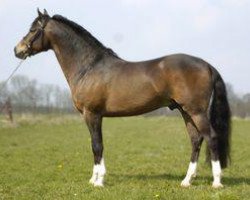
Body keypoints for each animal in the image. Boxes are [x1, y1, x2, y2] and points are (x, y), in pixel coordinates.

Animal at [14, 9, 231, 188]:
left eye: (33, 30)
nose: (17, 50)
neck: (89, 67)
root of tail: (206, 65)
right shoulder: (93, 116)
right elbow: (95, 146)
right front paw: (94, 179)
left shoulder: (92, 114)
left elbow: (97, 145)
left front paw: (98, 181)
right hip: (185, 111)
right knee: (196, 140)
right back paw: (187, 181)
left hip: (196, 112)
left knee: (211, 137)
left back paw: (216, 183)